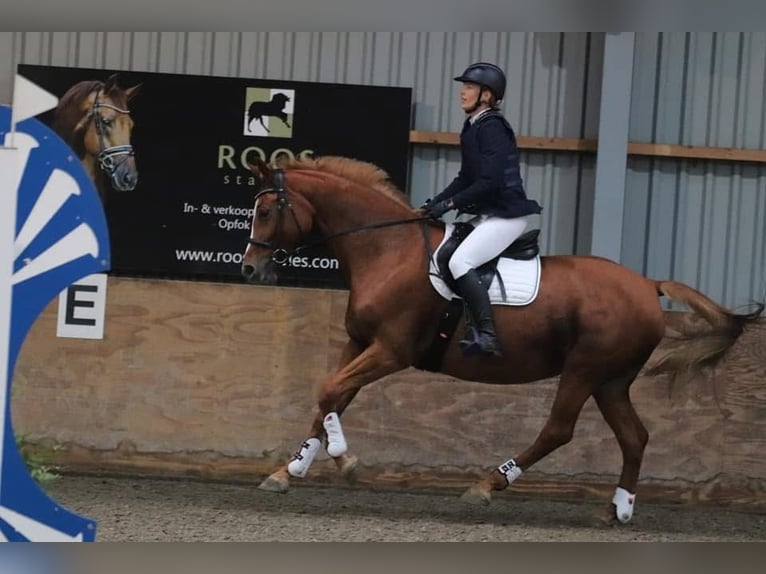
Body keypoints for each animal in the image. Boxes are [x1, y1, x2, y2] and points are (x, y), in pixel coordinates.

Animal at [240, 155, 763, 524]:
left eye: (264, 211)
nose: (248, 268)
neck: (386, 250)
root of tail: (648, 284)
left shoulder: (391, 351)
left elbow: (330, 391)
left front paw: (344, 462)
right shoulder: (358, 343)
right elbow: (332, 397)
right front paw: (289, 471)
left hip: (585, 369)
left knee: (558, 430)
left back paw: (488, 484)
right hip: (611, 379)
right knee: (634, 437)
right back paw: (616, 510)